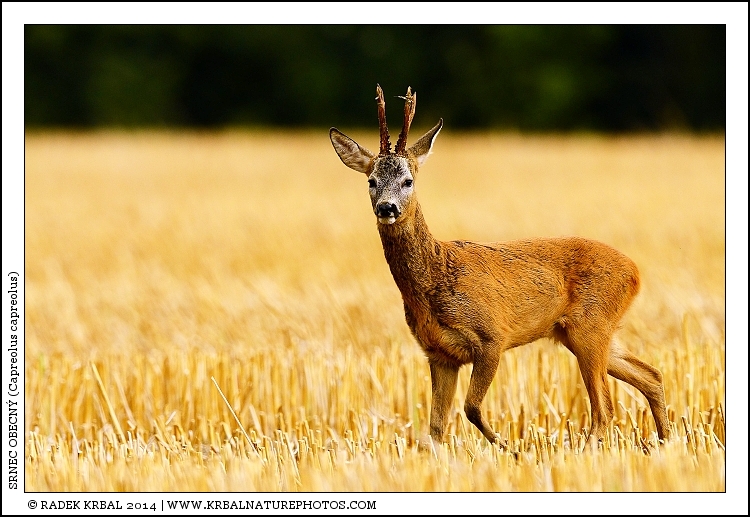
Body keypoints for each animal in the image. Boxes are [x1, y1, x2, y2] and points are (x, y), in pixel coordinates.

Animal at [329, 85, 671, 450]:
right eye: (371, 181)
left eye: (408, 181)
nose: (387, 207)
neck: (436, 275)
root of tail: (635, 271)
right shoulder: (439, 353)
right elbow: (436, 429)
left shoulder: (493, 335)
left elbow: (471, 408)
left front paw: (508, 446)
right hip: (589, 330)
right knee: (650, 375)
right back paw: (668, 442)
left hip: (590, 326)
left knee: (604, 410)